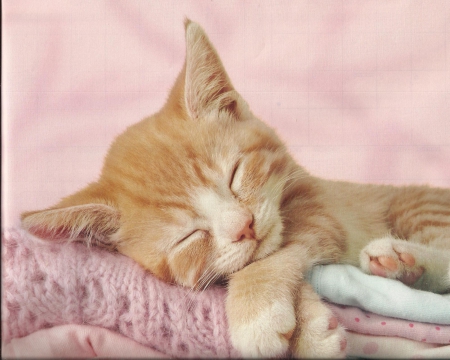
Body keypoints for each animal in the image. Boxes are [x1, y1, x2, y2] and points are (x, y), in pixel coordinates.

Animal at [21, 20, 450, 360]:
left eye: (234, 175)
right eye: (188, 237)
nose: (244, 226)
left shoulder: (323, 209)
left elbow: (269, 257)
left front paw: (256, 317)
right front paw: (312, 329)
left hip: (416, 205)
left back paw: (400, 257)